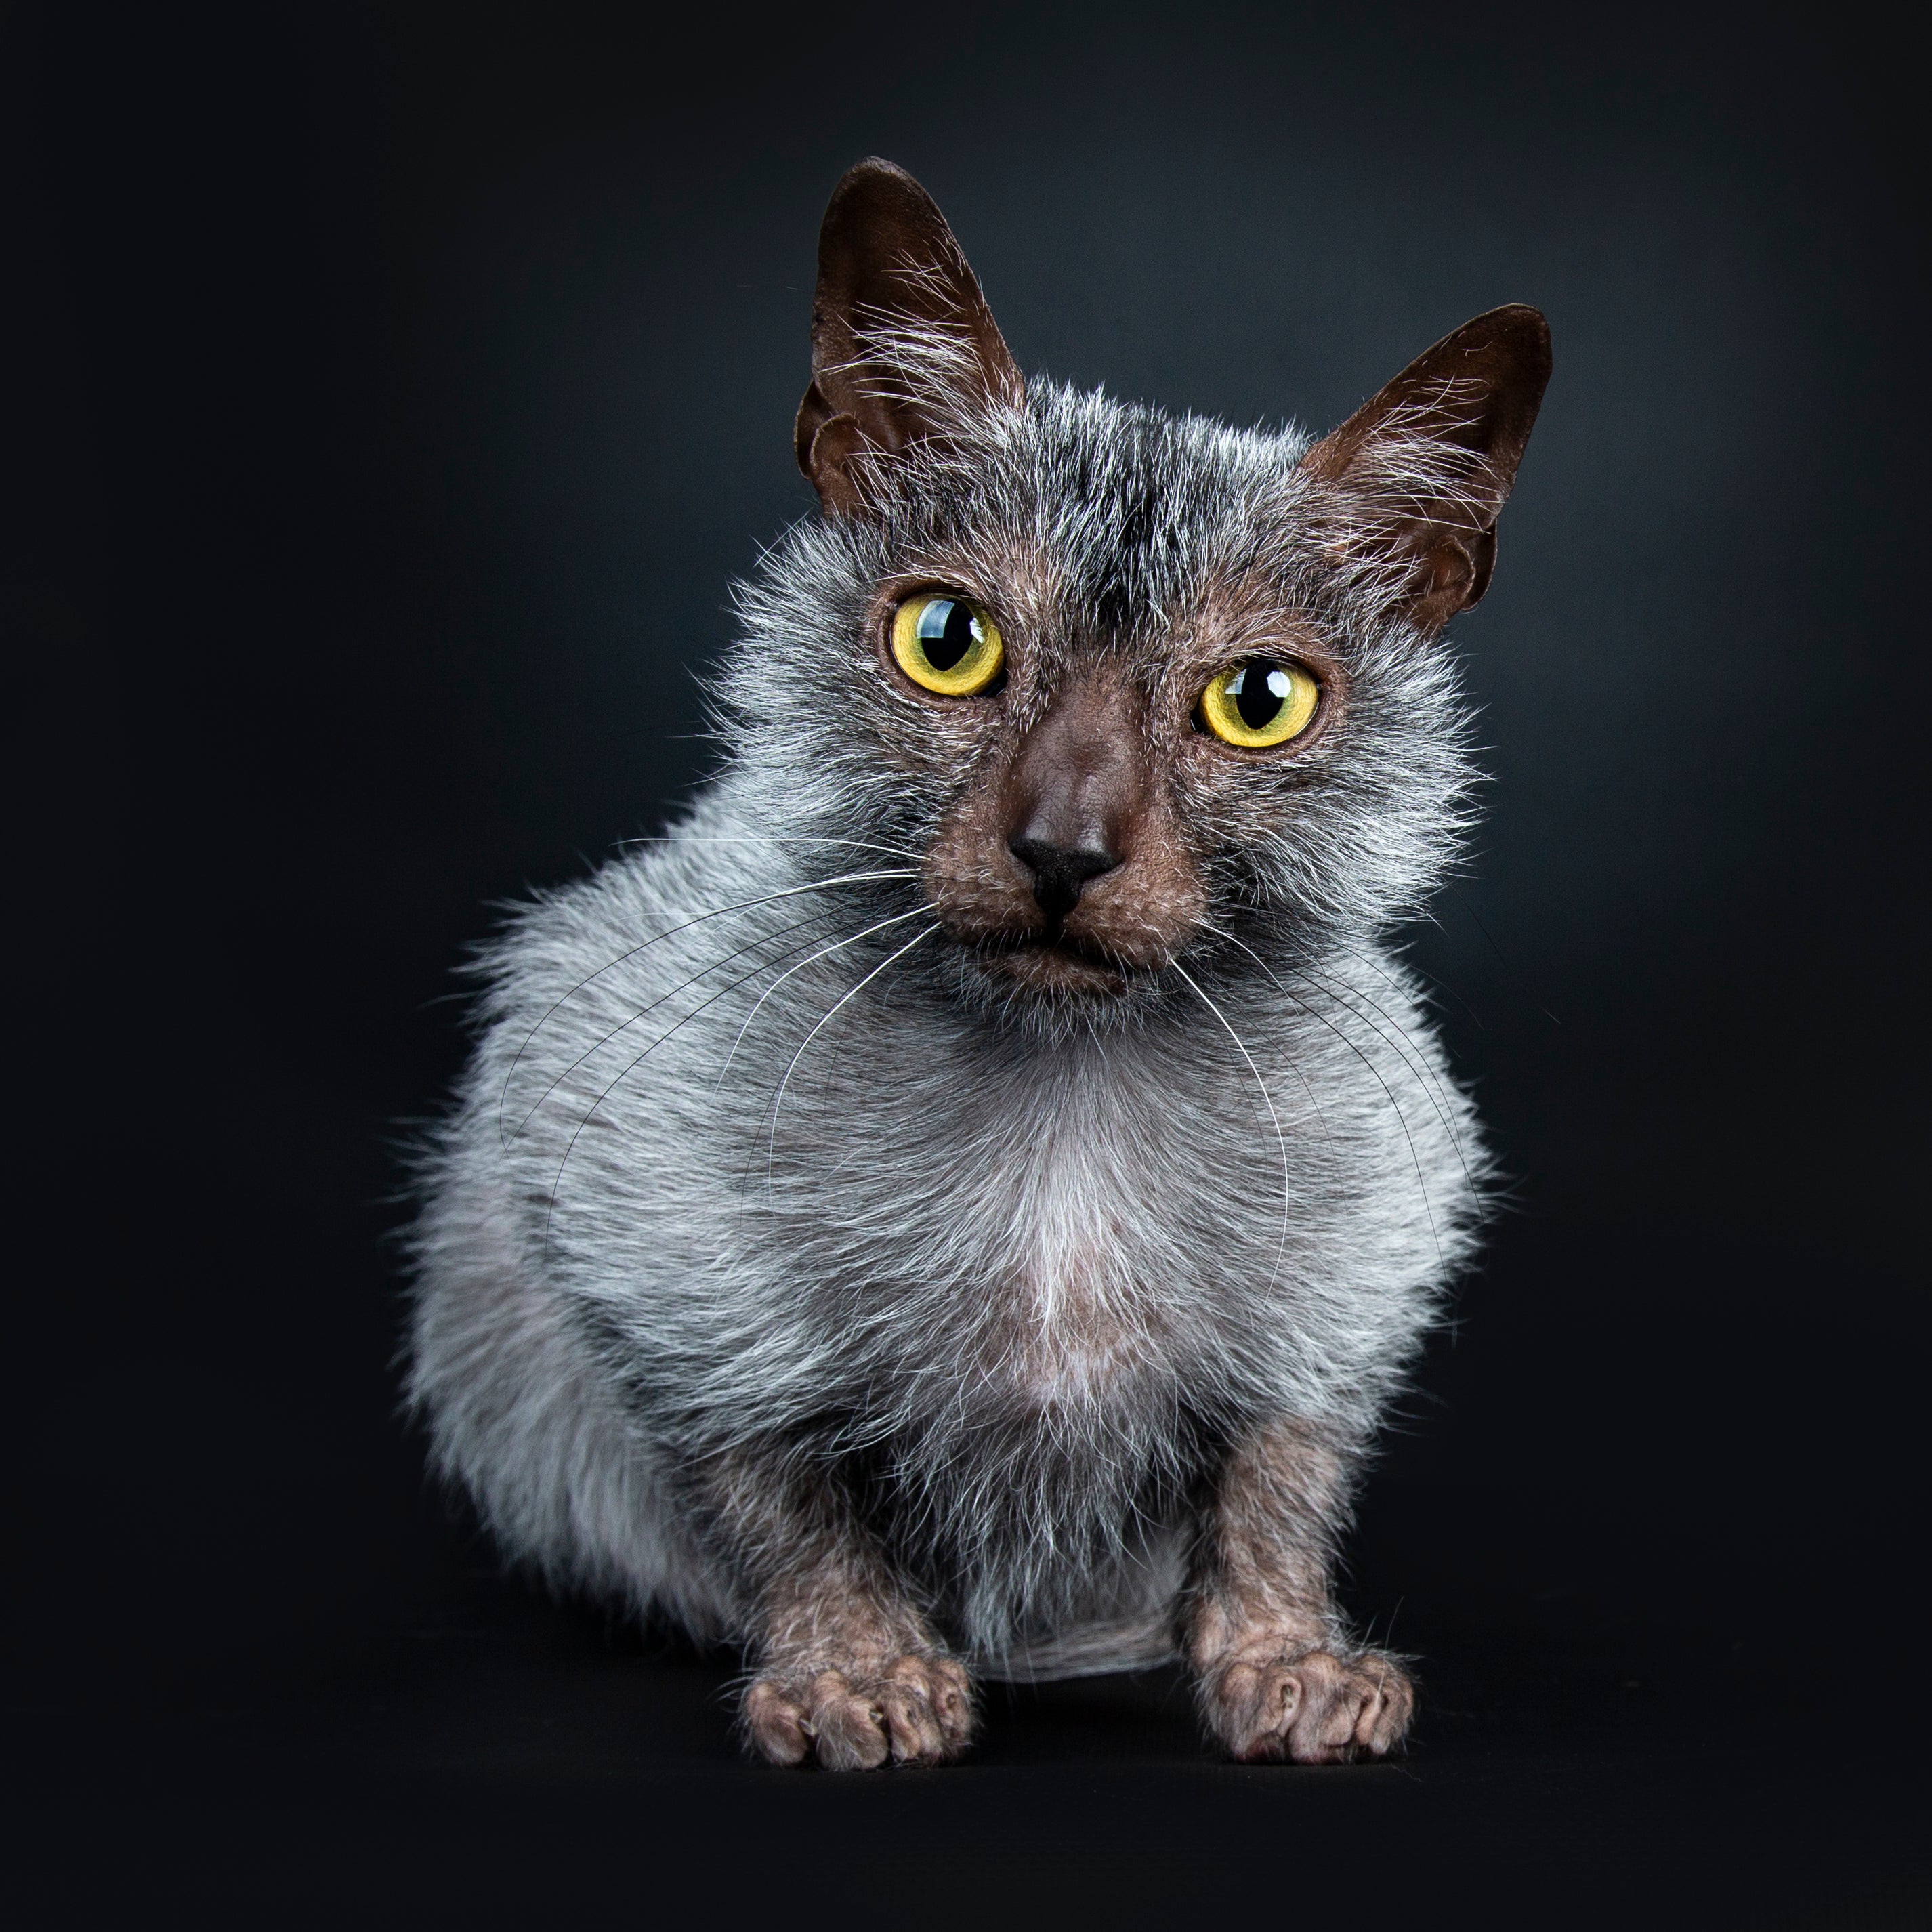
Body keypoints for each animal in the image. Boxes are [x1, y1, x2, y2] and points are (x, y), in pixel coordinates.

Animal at [400, 162, 1545, 1769]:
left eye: (1257, 699)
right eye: (947, 639)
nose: (1063, 847)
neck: (1059, 1096)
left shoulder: (1362, 1259)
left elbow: (1280, 1472)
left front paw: (1283, 1655)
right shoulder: (634, 1215)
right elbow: (773, 1476)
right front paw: (857, 1667)